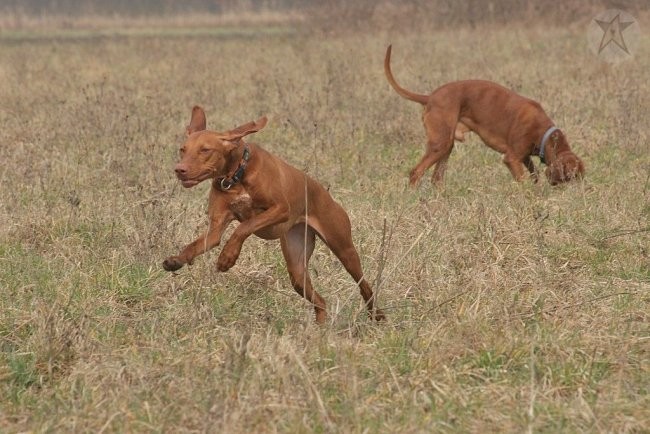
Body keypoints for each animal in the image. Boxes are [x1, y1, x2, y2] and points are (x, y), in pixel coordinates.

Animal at [163, 107, 384, 324]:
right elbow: (194, 246)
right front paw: (177, 260)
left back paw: (377, 315)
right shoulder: (216, 227)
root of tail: (328, 196)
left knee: (365, 286)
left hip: (344, 249)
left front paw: (227, 257)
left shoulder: (281, 209)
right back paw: (319, 330)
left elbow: (244, 226)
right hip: (297, 269)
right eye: (183, 149)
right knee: (321, 302)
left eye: (205, 150)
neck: (236, 175)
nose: (179, 170)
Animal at [382, 45, 584, 186]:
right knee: (416, 172)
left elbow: (534, 174)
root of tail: (430, 97)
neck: (544, 133)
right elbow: (522, 180)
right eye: (570, 177)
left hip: (447, 145)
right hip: (439, 144)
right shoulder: (511, 158)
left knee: (436, 178)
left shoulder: (524, 157)